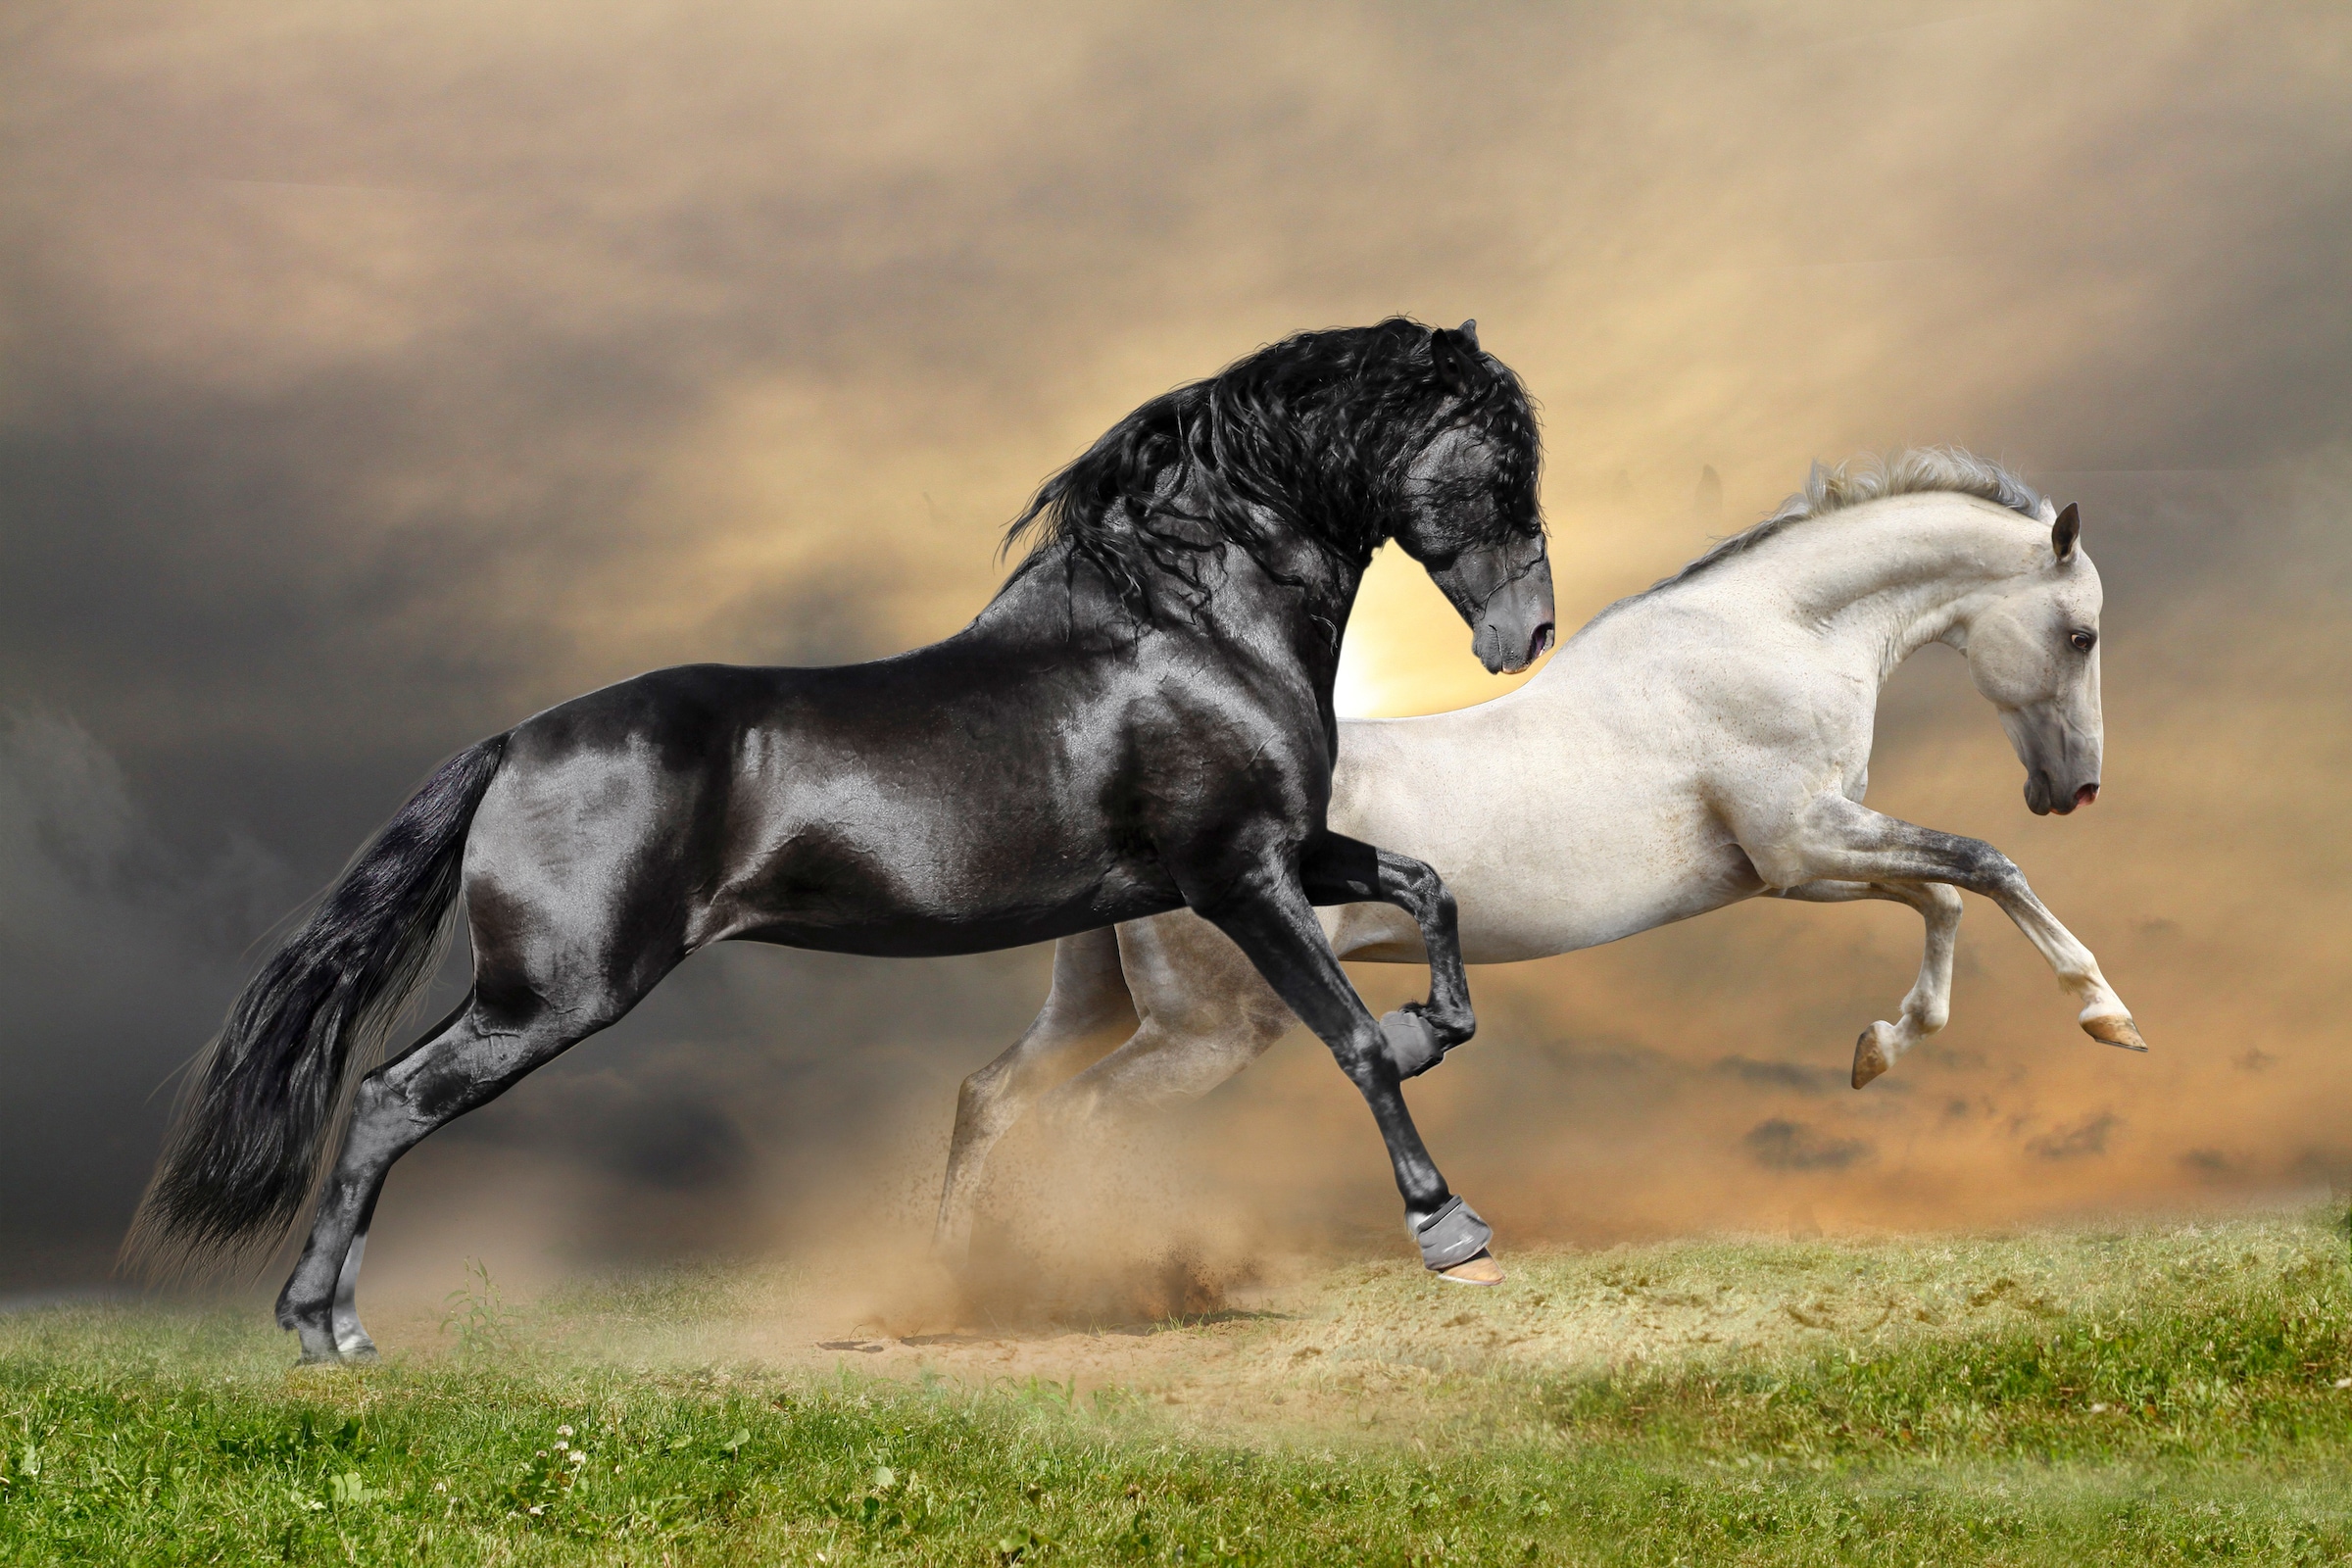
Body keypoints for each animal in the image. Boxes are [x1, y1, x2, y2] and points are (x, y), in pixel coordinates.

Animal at [128, 318, 1559, 1363]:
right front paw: (1451, 1228)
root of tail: (517, 742)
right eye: (1500, 460)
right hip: (555, 993)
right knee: (387, 1099)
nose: (1527, 635)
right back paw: (326, 1330)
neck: (1186, 626)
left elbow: (1427, 888)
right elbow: (1353, 1042)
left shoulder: (1285, 850)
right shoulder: (1235, 874)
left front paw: (1439, 1028)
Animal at [934, 448, 2148, 1266]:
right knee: (1078, 1121)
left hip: (1102, 1003)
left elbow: (1943, 897)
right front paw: (2107, 1015)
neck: (1776, 636)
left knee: (992, 1096)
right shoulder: (1803, 838)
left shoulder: (1795, 862)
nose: (2074, 789)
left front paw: (1881, 1047)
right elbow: (1983, 865)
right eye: (2080, 633)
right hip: (1209, 1032)